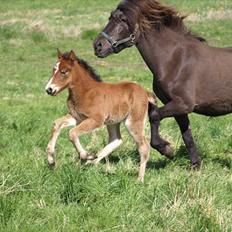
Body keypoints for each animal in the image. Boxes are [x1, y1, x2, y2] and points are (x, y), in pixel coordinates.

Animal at [44, 49, 157, 182]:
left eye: (64, 71)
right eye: (53, 69)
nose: (49, 89)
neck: (86, 92)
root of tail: (145, 92)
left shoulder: (96, 120)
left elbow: (72, 133)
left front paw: (85, 155)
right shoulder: (77, 117)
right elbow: (57, 123)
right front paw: (51, 160)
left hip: (133, 122)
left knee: (143, 147)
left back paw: (139, 179)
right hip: (113, 122)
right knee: (116, 140)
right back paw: (92, 160)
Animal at [93, 0, 232, 168]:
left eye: (123, 20)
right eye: (110, 17)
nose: (98, 46)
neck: (175, 61)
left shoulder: (183, 104)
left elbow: (154, 115)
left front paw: (166, 149)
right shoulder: (178, 109)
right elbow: (187, 136)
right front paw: (195, 165)